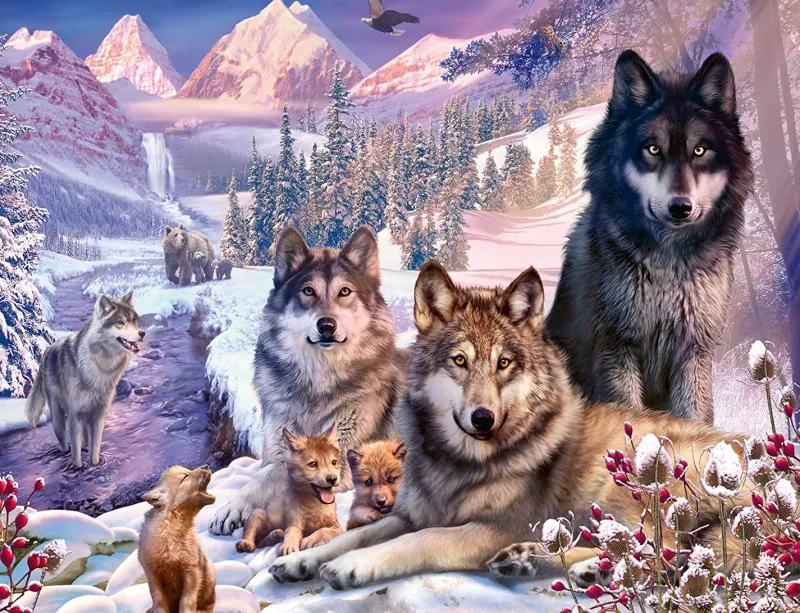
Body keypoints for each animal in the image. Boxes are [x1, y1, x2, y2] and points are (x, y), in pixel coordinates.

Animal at [26, 292, 145, 468]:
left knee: (85, 442)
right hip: (59, 419)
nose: (142, 333)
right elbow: (76, 455)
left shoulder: (98, 416)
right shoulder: (75, 416)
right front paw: (78, 468)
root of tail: (47, 350)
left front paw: (95, 466)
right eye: (120, 323)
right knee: (64, 443)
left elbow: (94, 449)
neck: (100, 368)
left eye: (134, 321)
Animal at [209, 226, 407, 535]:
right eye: (308, 291)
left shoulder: (343, 464)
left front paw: (232, 507)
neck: (317, 384)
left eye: (344, 291)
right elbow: (269, 472)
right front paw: (233, 506)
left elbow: (277, 474)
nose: (326, 325)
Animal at [236, 426, 343, 556]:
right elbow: (292, 533)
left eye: (334, 462)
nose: (332, 479)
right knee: (256, 541)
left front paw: (309, 540)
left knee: (262, 542)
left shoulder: (337, 527)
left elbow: (323, 530)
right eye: (313, 464)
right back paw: (247, 543)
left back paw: (276, 535)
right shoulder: (293, 522)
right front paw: (289, 546)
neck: (316, 506)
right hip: (258, 513)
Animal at [268, 262, 742, 590]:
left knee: (664, 551)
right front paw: (299, 560)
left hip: (625, 479)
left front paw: (350, 566)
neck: (458, 464)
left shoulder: (491, 527)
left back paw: (581, 567)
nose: (483, 418)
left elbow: (413, 542)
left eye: (504, 363)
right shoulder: (411, 514)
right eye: (460, 360)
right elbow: (357, 535)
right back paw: (533, 560)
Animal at [547, 50, 753, 424]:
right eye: (653, 149)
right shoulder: (617, 346)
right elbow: (629, 416)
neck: (668, 265)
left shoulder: (693, 349)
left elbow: (694, 418)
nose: (680, 207)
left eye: (700, 151)